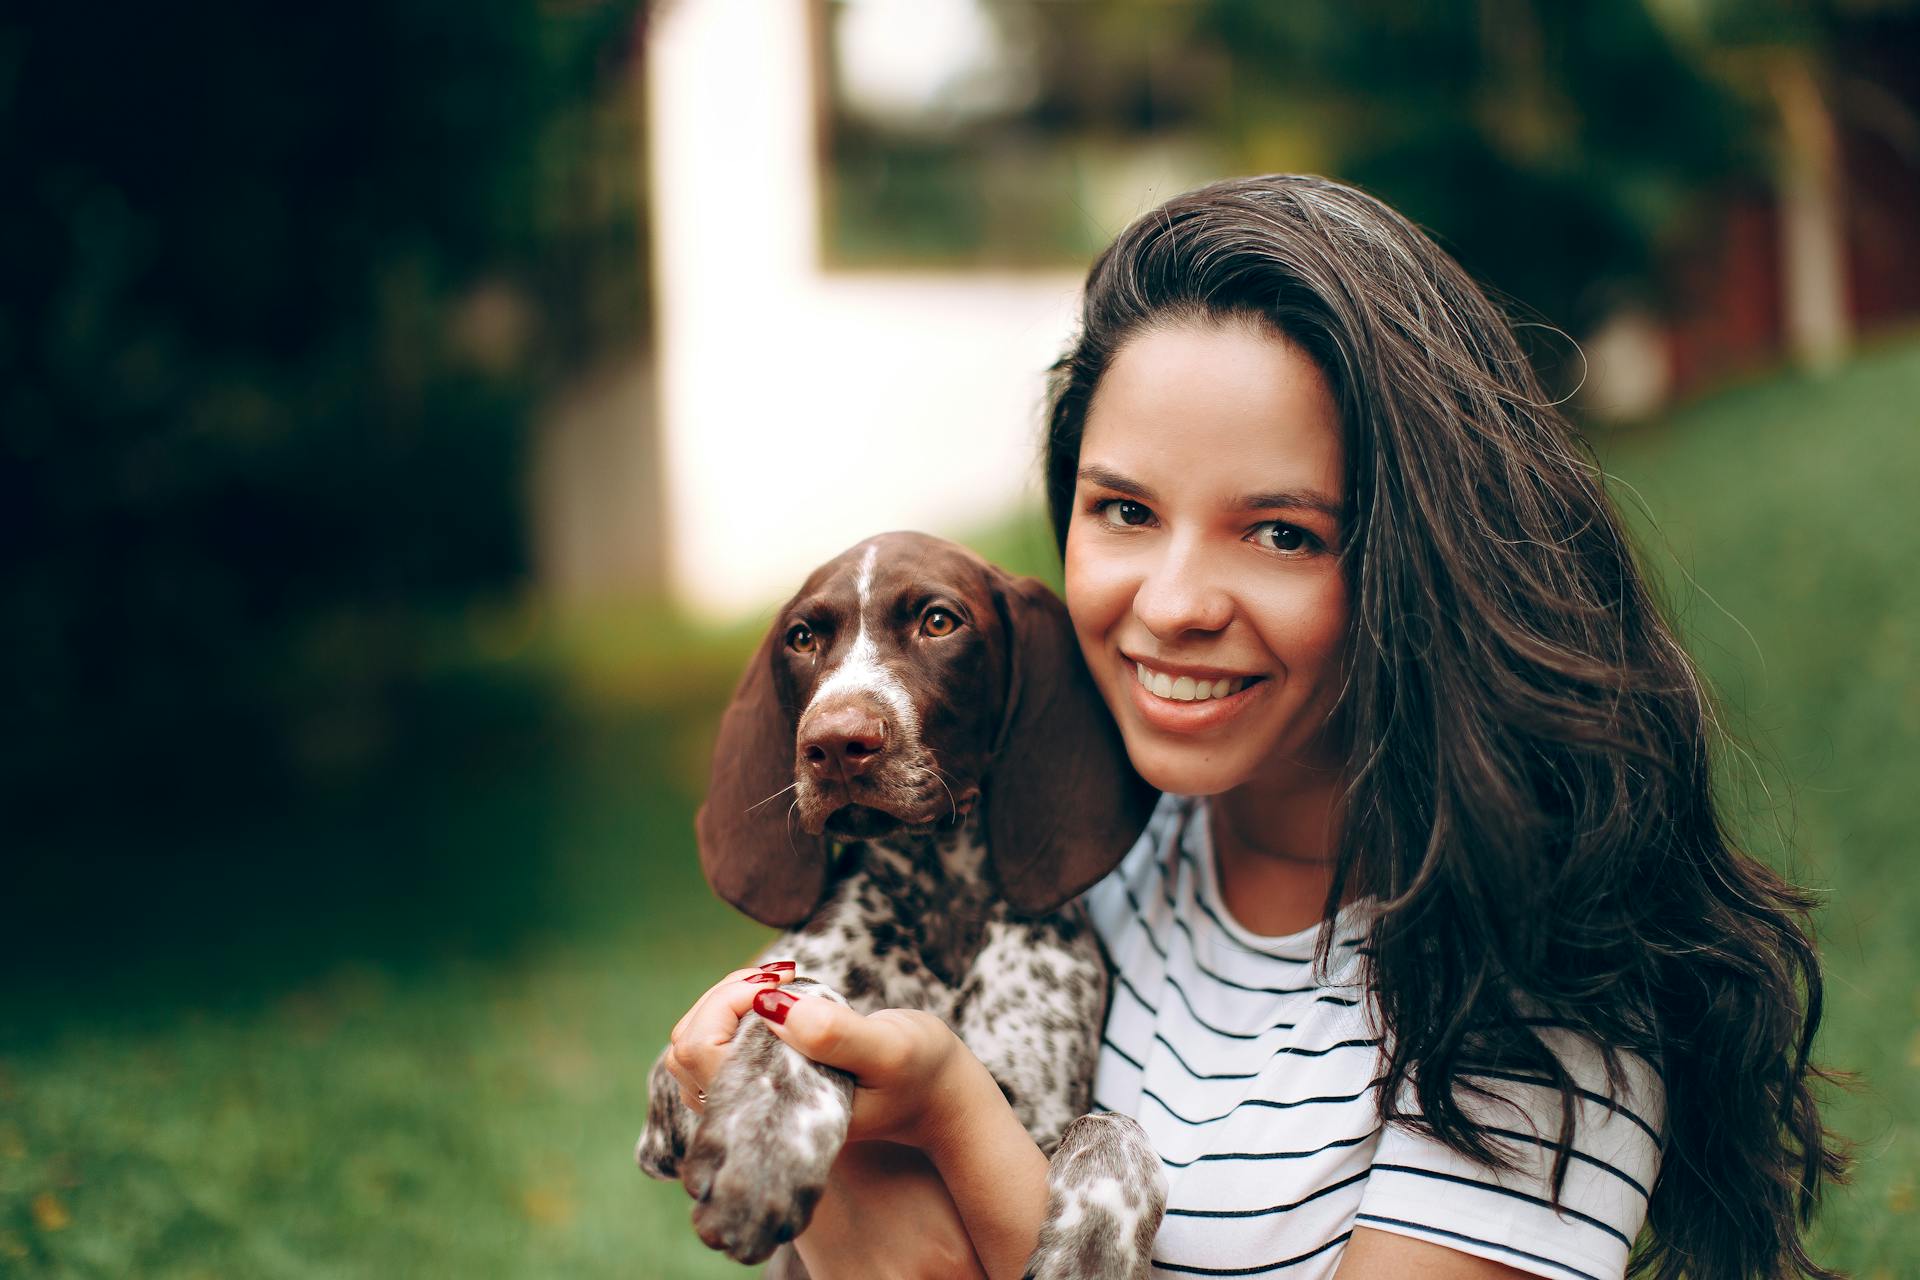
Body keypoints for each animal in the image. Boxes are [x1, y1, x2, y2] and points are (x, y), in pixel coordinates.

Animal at [637, 529, 1159, 1280]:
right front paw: (765, 1139)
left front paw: (1092, 1251)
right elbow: (805, 999)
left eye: (939, 622)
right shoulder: (668, 1103)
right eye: (802, 638)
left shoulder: (1039, 1113)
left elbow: (1114, 1127)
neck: (937, 896)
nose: (833, 744)